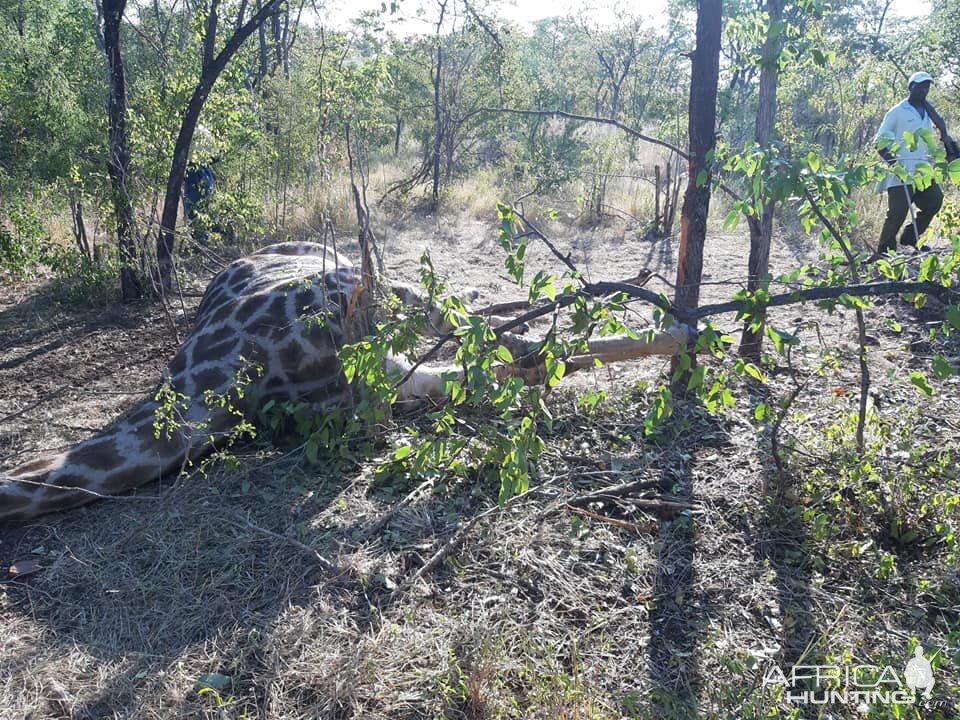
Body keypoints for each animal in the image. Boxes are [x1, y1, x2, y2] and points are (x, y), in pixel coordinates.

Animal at [0, 242, 688, 524]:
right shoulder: (382, 383)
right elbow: (474, 375)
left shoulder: (366, 301)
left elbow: (489, 344)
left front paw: (686, 336)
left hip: (373, 280)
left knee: (468, 315)